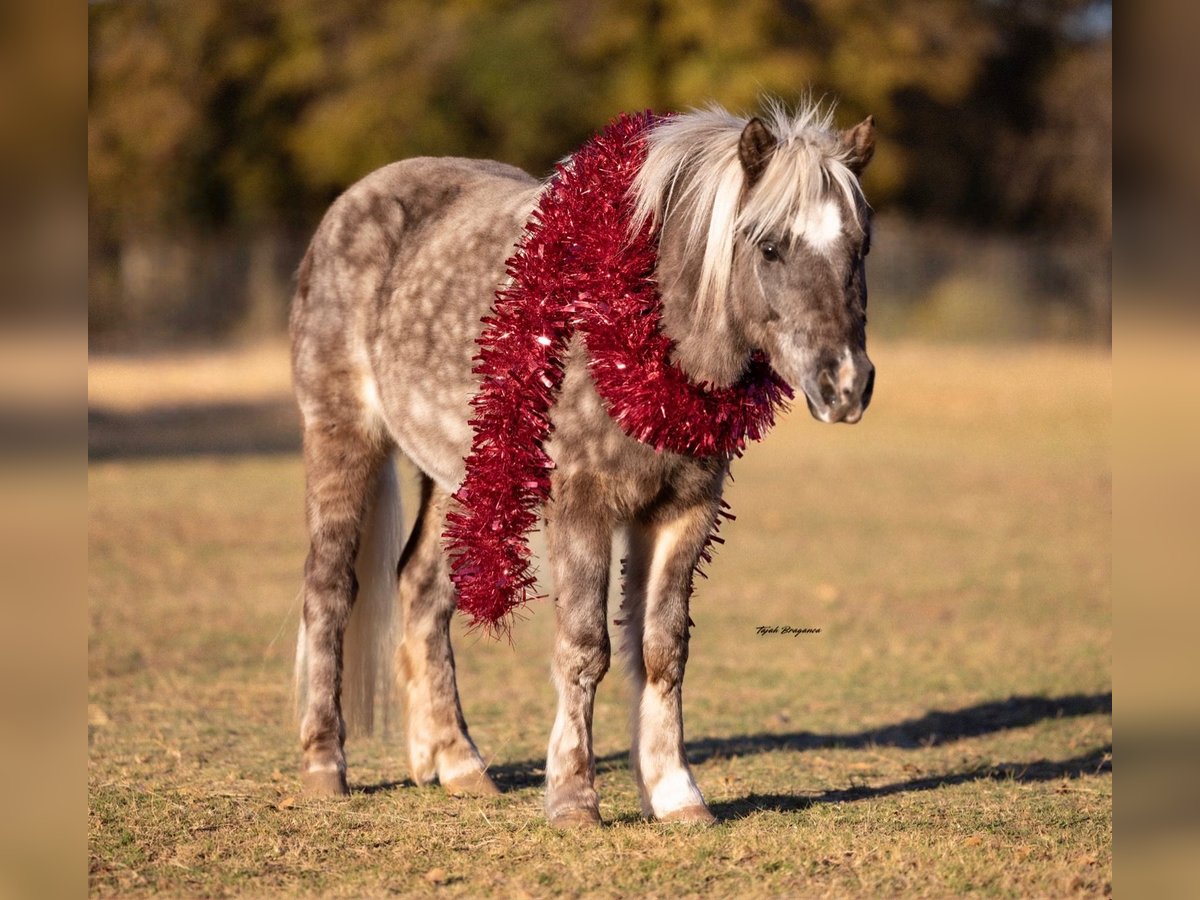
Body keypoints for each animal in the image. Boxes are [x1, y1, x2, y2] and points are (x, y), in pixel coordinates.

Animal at [291, 100, 876, 827]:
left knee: (422, 591)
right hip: (342, 435)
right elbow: (584, 648)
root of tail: (353, 203)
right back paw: (324, 766)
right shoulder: (580, 508)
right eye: (769, 245)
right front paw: (573, 798)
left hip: (464, 474)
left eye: (861, 245)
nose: (846, 384)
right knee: (329, 588)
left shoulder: (684, 511)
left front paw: (676, 793)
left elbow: (661, 650)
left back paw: (458, 763)